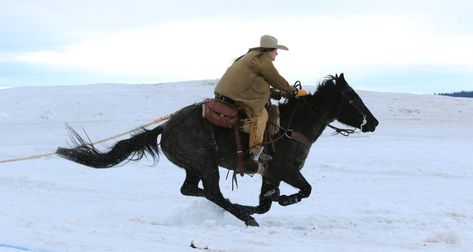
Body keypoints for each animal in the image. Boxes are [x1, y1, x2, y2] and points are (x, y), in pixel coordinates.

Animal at [57, 73, 378, 226]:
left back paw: (240, 210)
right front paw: (283, 201)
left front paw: (268, 202)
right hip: (206, 164)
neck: (292, 125)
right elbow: (304, 191)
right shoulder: (285, 170)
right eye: (352, 97)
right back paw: (244, 217)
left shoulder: (270, 175)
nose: (373, 122)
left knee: (191, 189)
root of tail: (166, 128)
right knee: (213, 192)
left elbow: (267, 202)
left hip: (194, 166)